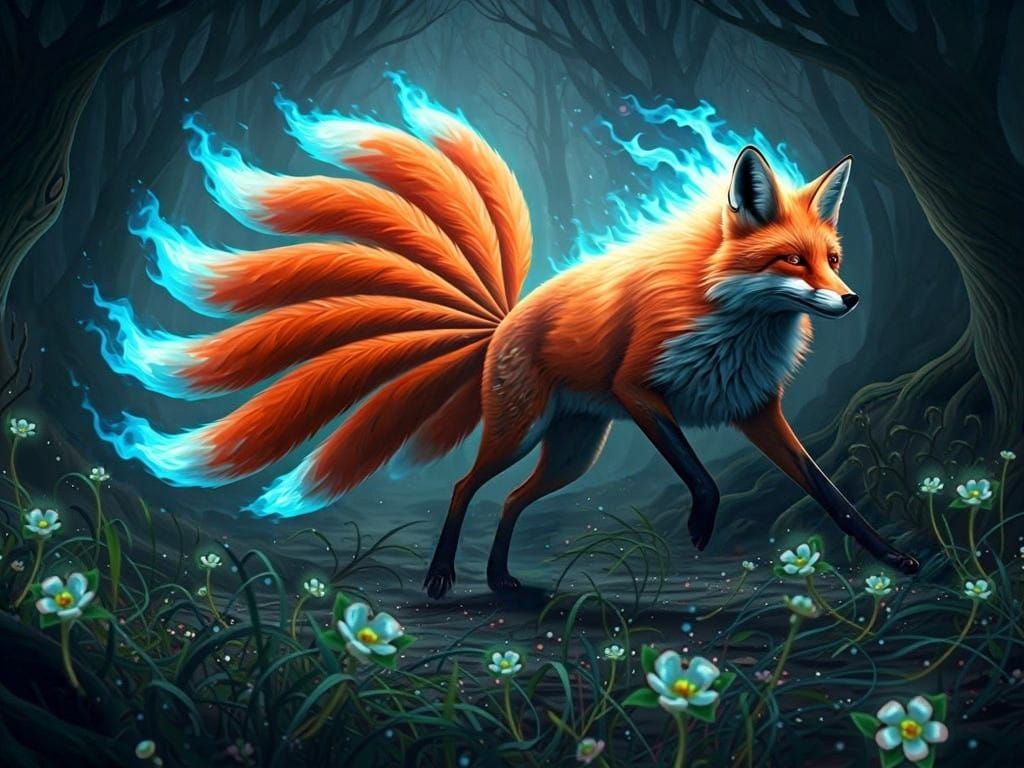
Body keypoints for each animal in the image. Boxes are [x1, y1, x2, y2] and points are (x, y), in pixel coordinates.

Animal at [96, 86, 919, 599]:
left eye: (833, 259)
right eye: (791, 261)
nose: (849, 299)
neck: (733, 321)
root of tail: (502, 320)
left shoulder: (756, 410)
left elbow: (831, 494)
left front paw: (895, 558)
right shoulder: (639, 391)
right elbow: (702, 475)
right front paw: (700, 525)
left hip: (572, 450)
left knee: (516, 500)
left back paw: (498, 578)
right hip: (524, 430)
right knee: (467, 486)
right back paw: (442, 578)